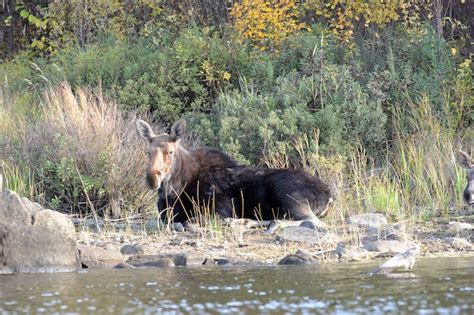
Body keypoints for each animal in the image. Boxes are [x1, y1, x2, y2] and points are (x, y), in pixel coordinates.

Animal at [135, 118, 332, 225]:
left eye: (170, 151)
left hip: (287, 193)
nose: (152, 178)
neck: (174, 189)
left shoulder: (222, 205)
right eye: (148, 152)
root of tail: (329, 195)